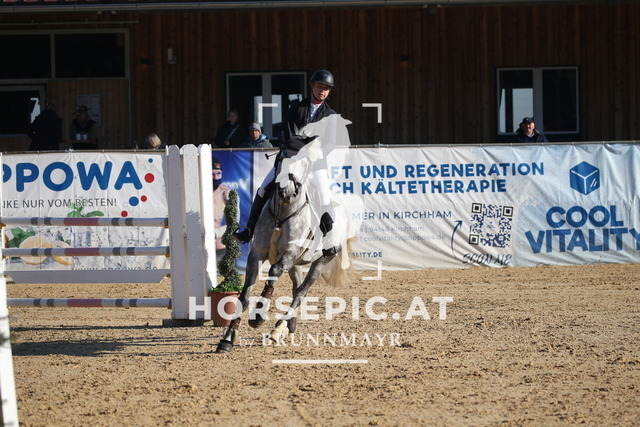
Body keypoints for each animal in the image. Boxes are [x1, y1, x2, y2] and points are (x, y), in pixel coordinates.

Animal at [215, 156, 357, 353]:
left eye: (304, 163)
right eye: (282, 159)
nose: (286, 192)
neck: (282, 212)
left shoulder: (289, 253)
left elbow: (273, 272)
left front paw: (258, 317)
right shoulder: (257, 255)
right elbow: (243, 297)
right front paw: (227, 339)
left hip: (320, 261)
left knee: (301, 292)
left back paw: (277, 329)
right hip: (295, 264)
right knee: (297, 288)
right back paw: (289, 325)